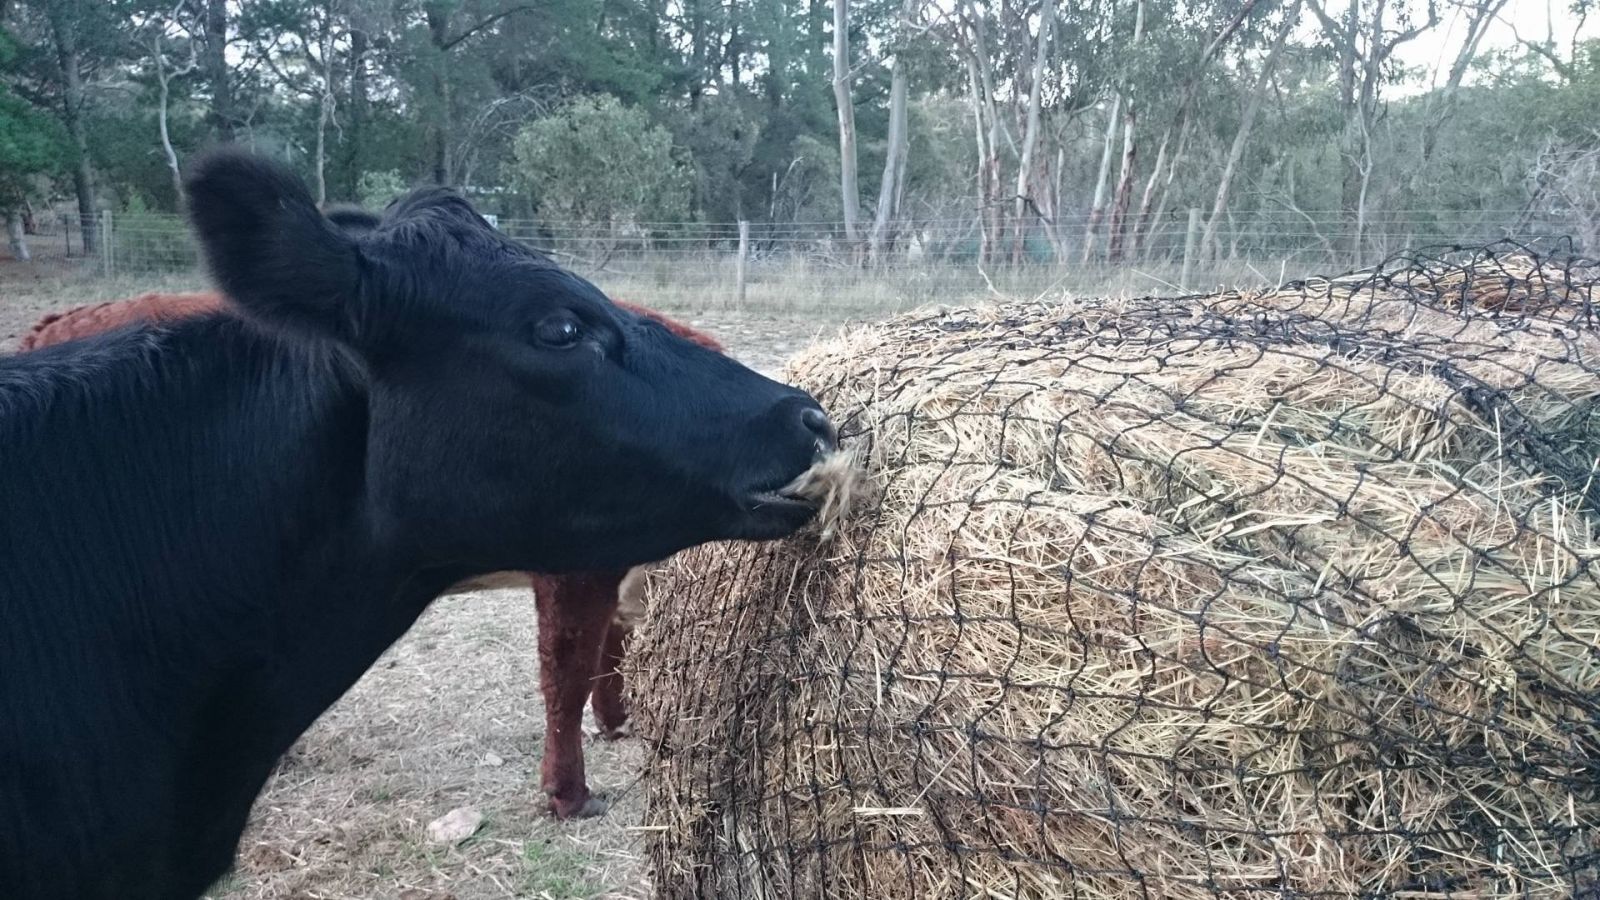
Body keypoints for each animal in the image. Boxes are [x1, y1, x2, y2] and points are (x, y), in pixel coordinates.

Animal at [0, 148, 832, 896]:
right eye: (561, 328)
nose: (810, 415)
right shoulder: (575, 563)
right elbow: (567, 672)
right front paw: (569, 792)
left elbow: (606, 655)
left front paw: (615, 723)